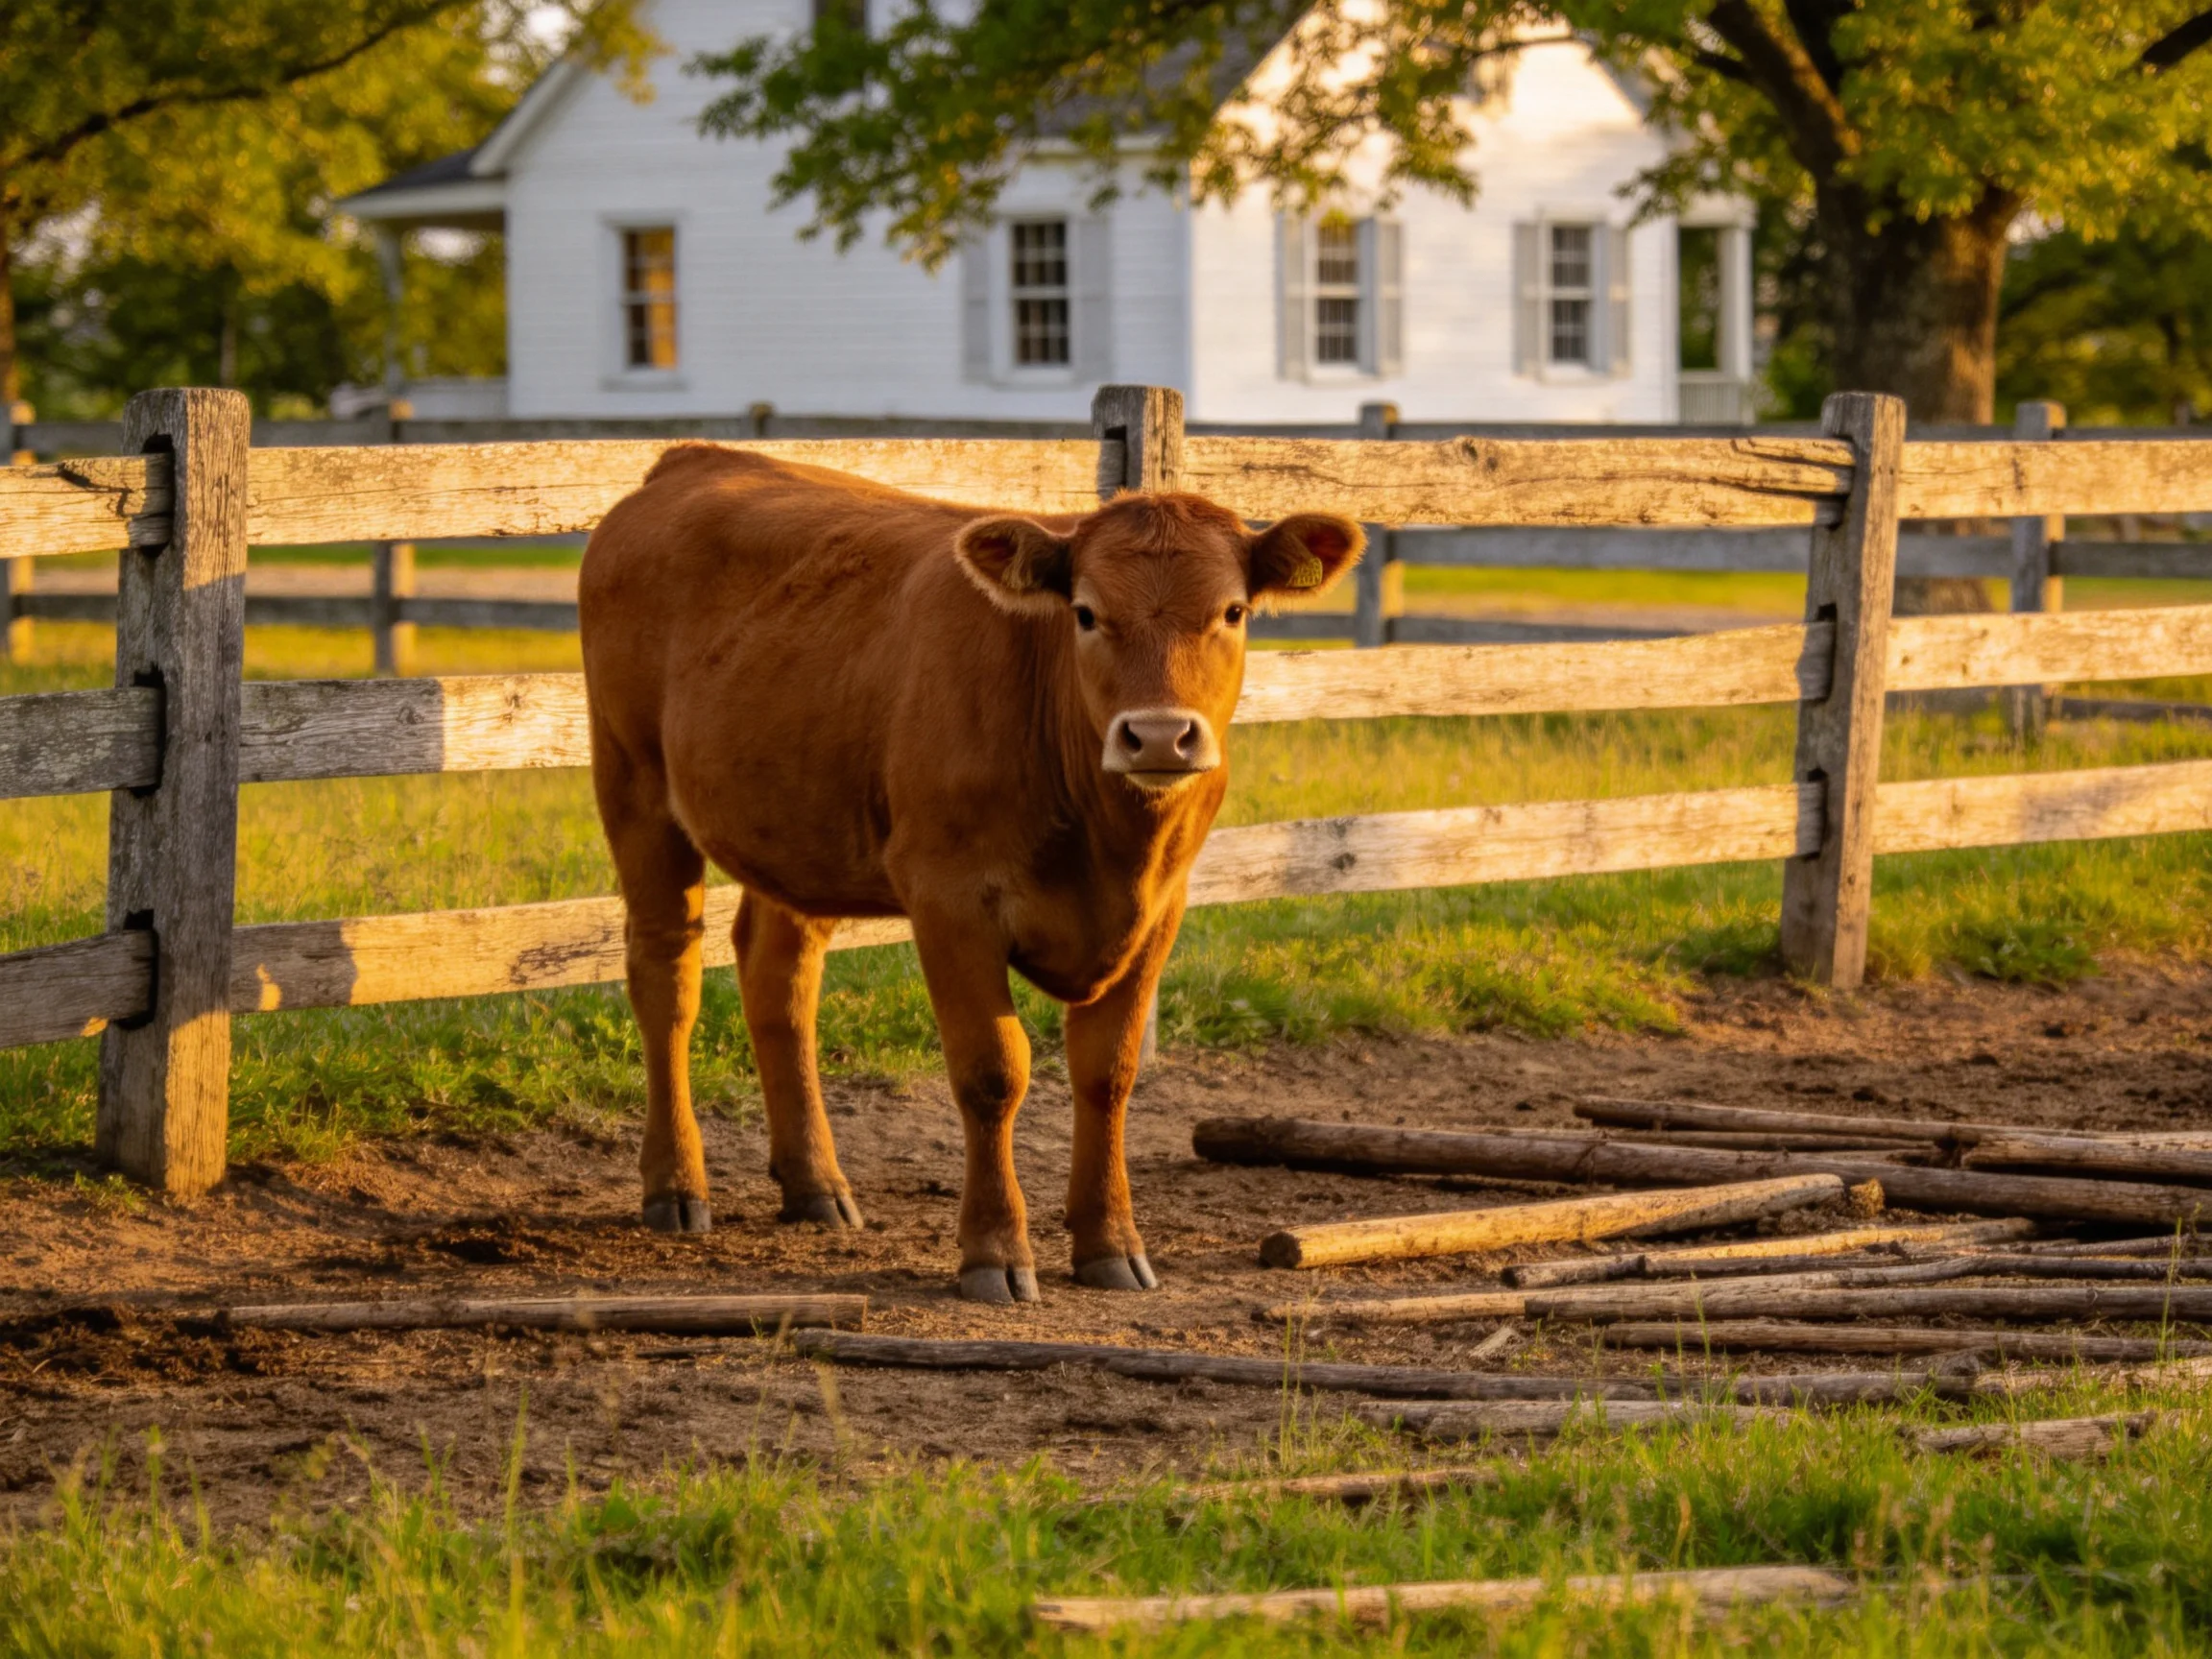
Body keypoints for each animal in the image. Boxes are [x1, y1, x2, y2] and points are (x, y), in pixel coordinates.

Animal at [579, 447, 1362, 1302]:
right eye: (1086, 613)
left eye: (1233, 612)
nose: (1159, 735)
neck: (1108, 838)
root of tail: (691, 462)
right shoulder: (950, 897)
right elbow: (994, 1072)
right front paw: (995, 1252)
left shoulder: (1160, 909)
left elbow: (1109, 1074)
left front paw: (1110, 1243)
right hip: (635, 786)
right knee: (667, 976)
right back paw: (676, 1185)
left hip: (795, 821)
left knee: (777, 979)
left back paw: (815, 1184)